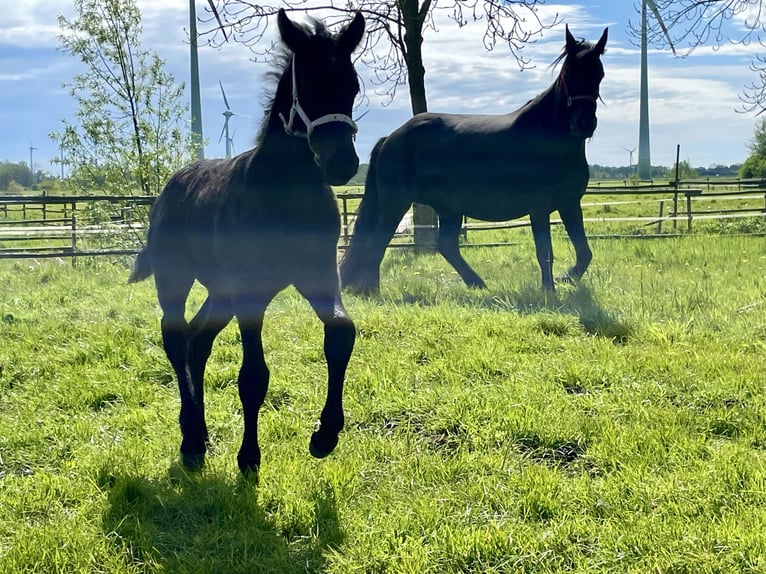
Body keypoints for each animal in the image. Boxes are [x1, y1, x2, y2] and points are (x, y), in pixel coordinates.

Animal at [130, 10, 366, 476]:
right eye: (307, 83)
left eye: (352, 85)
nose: (342, 163)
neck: (285, 194)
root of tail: (171, 186)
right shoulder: (251, 294)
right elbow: (253, 376)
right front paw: (249, 457)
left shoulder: (318, 277)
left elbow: (341, 333)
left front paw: (325, 435)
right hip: (177, 279)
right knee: (175, 338)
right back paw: (190, 439)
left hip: (221, 291)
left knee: (197, 341)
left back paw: (200, 434)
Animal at [342, 23, 608, 292]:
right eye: (568, 74)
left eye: (599, 75)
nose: (584, 123)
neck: (546, 137)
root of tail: (391, 138)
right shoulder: (539, 207)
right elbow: (545, 253)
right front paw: (549, 291)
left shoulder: (569, 204)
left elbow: (584, 252)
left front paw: (566, 278)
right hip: (396, 204)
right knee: (377, 242)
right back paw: (372, 290)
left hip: (447, 208)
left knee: (445, 245)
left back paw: (476, 282)